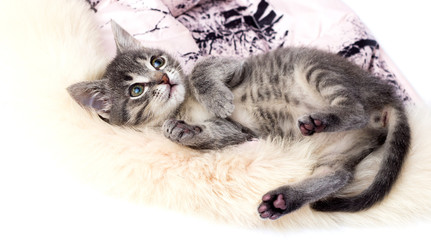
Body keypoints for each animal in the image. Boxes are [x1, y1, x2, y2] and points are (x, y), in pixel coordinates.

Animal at [68, 21, 412, 220]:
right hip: (337, 150)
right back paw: (284, 199)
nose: (164, 78)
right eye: (136, 90)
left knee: (354, 109)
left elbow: (203, 68)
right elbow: (213, 133)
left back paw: (320, 120)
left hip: (317, 70)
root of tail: (386, 94)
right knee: (338, 175)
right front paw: (181, 132)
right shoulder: (239, 132)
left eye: (157, 61)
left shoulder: (235, 65)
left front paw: (217, 99)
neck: (184, 107)